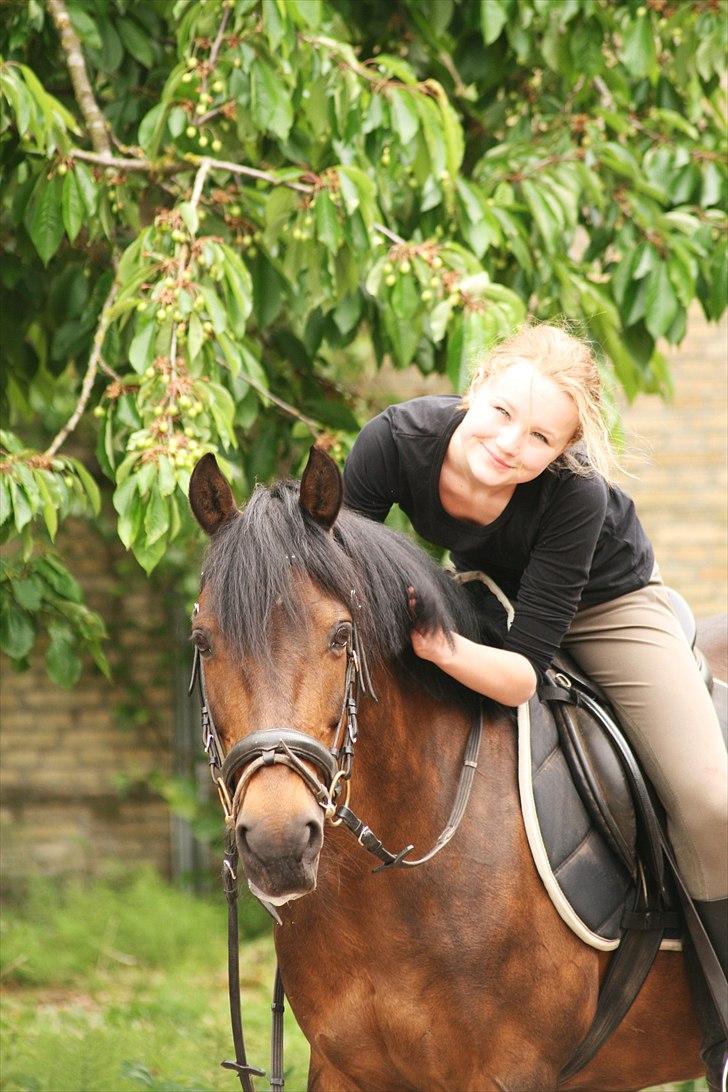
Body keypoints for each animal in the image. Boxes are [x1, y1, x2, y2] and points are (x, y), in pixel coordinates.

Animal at [187, 445, 724, 1092]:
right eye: (202, 640)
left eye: (341, 635)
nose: (278, 841)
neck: (390, 884)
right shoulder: (341, 1068)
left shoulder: (509, 1072)